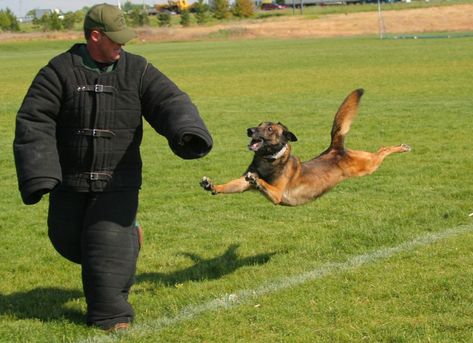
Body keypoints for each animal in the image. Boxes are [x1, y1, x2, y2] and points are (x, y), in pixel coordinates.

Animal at [199, 89, 410, 207]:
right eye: (258, 125)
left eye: (269, 128)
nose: (249, 130)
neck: (269, 160)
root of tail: (334, 149)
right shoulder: (242, 184)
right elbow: (232, 184)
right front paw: (212, 185)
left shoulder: (276, 194)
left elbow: (263, 182)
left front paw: (258, 179)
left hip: (367, 166)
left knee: (382, 149)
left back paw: (401, 147)